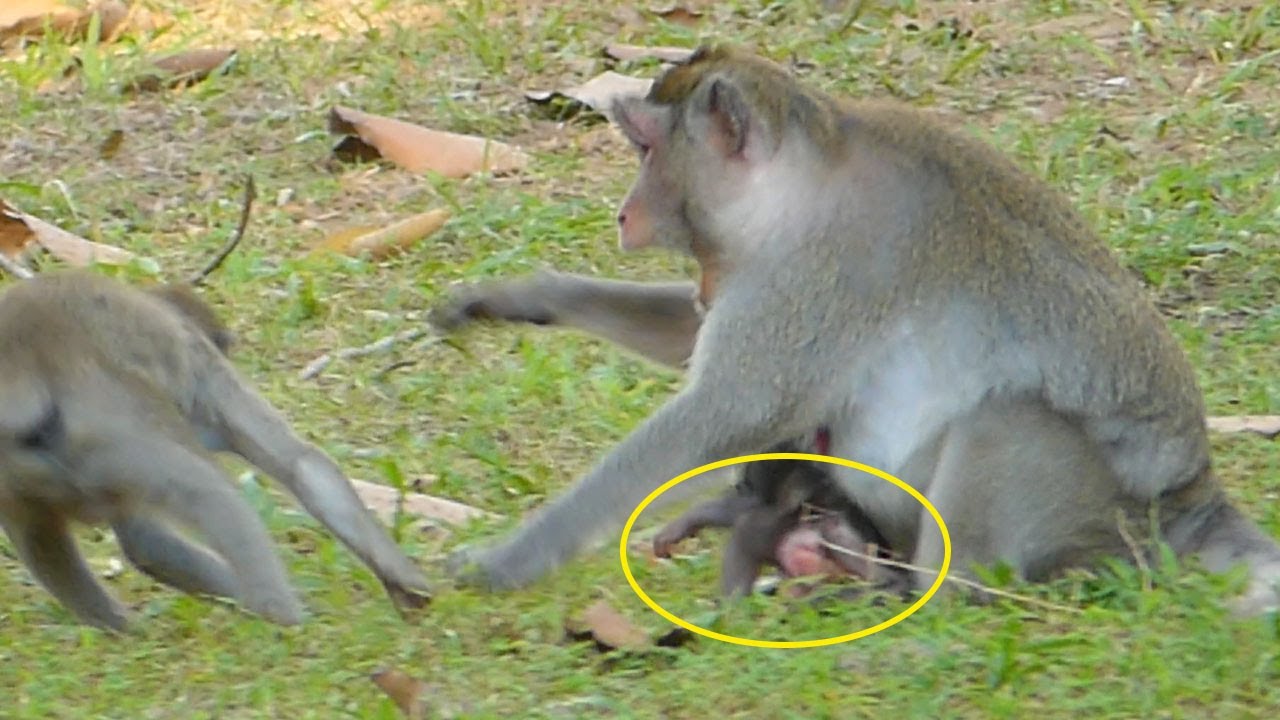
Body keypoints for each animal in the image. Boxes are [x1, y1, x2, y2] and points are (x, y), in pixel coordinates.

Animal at [0, 271, 431, 631]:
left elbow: (145, 542)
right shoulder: (201, 365)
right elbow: (301, 465)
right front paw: (407, 581)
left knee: (50, 538)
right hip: (105, 430)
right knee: (211, 492)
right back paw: (284, 619)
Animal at [433, 46, 1280, 617]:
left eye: (646, 148)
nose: (623, 213)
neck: (802, 186)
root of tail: (1194, 499)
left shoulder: (822, 267)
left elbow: (727, 411)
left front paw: (505, 561)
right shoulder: (763, 272)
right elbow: (692, 338)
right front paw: (520, 296)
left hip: (1098, 513)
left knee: (1005, 422)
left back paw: (920, 606)